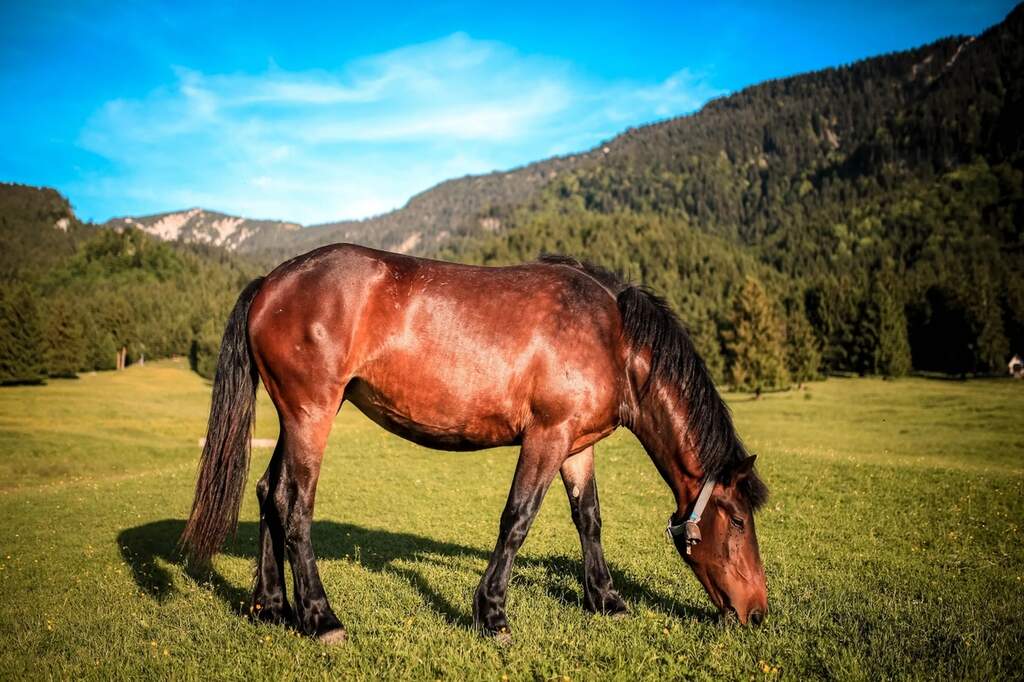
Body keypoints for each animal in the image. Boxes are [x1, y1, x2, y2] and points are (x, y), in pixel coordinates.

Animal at [180, 244, 770, 643]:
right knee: (295, 505)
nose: (758, 612)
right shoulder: (547, 436)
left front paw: (605, 598)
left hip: (296, 417)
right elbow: (518, 519)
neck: (613, 336)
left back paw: (271, 604)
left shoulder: (577, 445)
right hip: (311, 415)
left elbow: (589, 518)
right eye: (740, 521)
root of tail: (273, 280)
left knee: (267, 492)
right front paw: (492, 613)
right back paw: (321, 617)